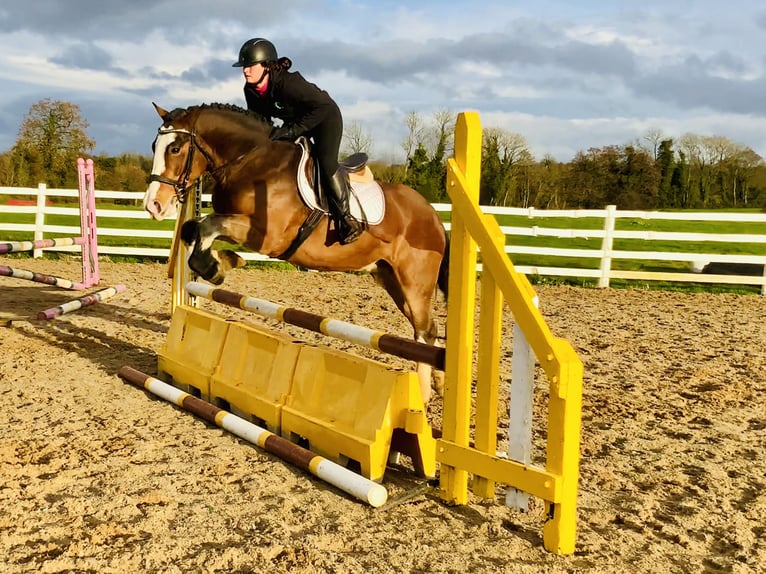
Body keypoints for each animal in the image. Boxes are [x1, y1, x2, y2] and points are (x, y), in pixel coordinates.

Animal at [142, 103, 449, 404]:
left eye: (174, 148)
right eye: (155, 145)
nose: (153, 205)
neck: (249, 160)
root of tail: (432, 214)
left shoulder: (269, 236)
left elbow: (208, 226)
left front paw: (216, 268)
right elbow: (193, 228)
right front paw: (223, 261)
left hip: (414, 280)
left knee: (424, 330)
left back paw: (422, 397)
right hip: (390, 277)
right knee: (427, 329)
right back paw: (438, 383)